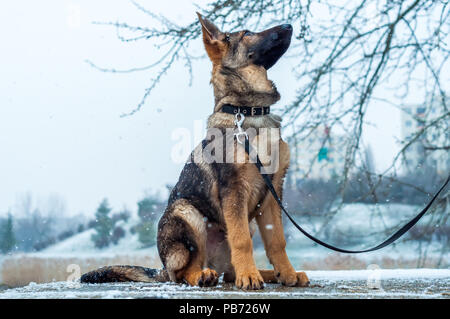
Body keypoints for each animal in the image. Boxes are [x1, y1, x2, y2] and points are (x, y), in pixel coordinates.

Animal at [81, 13, 310, 292]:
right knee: (184, 272)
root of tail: (163, 268)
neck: (249, 112)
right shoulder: (234, 189)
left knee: (228, 273)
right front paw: (250, 276)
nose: (289, 25)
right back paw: (208, 275)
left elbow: (277, 240)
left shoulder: (273, 191)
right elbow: (241, 239)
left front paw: (287, 274)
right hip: (187, 214)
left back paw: (265, 273)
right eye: (246, 33)